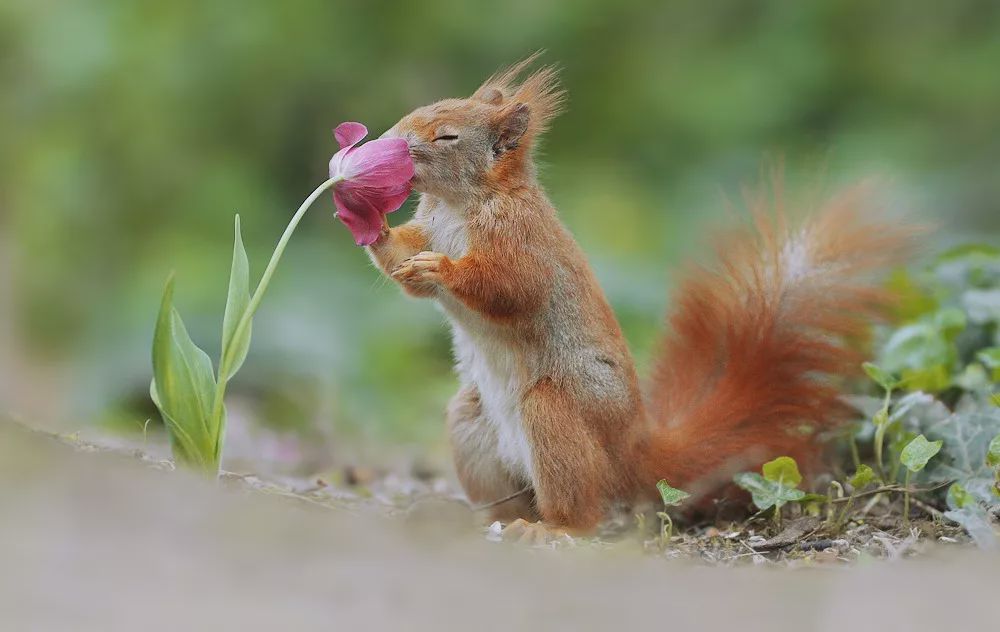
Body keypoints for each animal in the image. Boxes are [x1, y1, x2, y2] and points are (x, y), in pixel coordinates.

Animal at [368, 60, 916, 532]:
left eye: (448, 135)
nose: (390, 141)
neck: (459, 205)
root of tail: (636, 452)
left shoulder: (523, 240)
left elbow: (512, 287)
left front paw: (441, 268)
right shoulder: (431, 227)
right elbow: (404, 263)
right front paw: (374, 225)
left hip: (554, 415)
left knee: (582, 511)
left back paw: (552, 530)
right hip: (472, 421)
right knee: (510, 495)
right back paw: (484, 520)